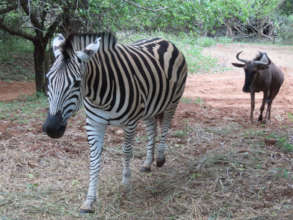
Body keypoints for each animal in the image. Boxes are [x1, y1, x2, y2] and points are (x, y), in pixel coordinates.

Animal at [41, 31, 187, 212]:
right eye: (48, 79)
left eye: (77, 83)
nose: (52, 128)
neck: (99, 96)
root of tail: (162, 39)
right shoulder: (93, 124)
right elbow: (94, 158)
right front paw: (89, 200)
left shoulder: (130, 123)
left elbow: (126, 151)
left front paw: (125, 185)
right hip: (149, 106)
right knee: (152, 128)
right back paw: (147, 163)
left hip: (173, 100)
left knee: (165, 125)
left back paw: (159, 158)